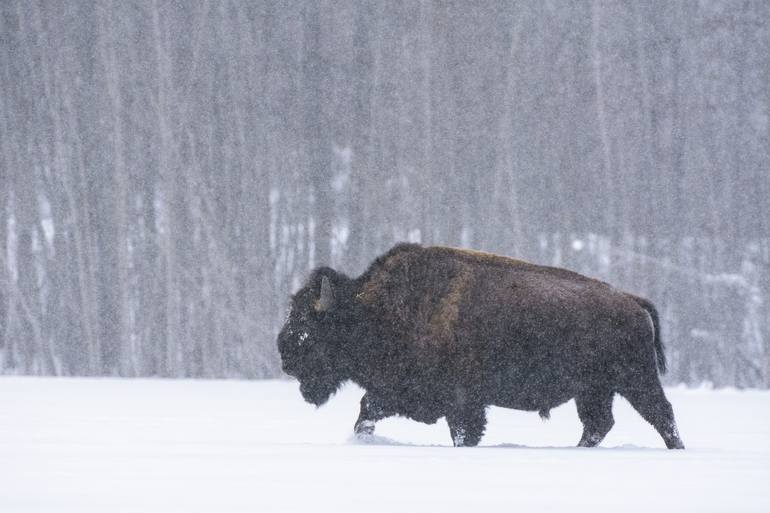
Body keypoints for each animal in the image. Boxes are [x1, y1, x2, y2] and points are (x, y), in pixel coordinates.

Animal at [276, 242, 684, 446]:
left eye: (306, 322)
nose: (284, 353)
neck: (371, 308)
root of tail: (632, 301)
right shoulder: (397, 393)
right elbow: (366, 412)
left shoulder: (461, 404)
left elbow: (464, 433)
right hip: (594, 390)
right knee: (599, 424)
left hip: (635, 380)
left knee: (661, 415)